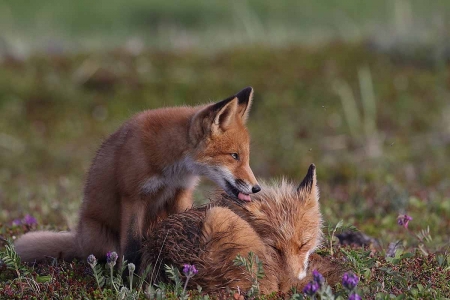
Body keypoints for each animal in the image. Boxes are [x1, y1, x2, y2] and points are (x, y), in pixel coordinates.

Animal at [14, 85, 260, 264]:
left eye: (246, 157)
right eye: (234, 156)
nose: (256, 188)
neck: (171, 168)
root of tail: (78, 239)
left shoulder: (180, 193)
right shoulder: (133, 196)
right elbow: (131, 246)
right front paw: (131, 280)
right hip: (100, 236)